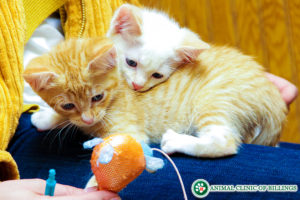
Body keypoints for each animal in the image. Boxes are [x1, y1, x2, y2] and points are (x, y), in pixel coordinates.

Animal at [23, 37, 286, 156]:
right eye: (68, 105)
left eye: (97, 97)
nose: (88, 119)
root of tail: (272, 96)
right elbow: (72, 121)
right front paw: (46, 117)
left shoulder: (130, 132)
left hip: (214, 101)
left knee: (225, 142)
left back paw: (176, 141)